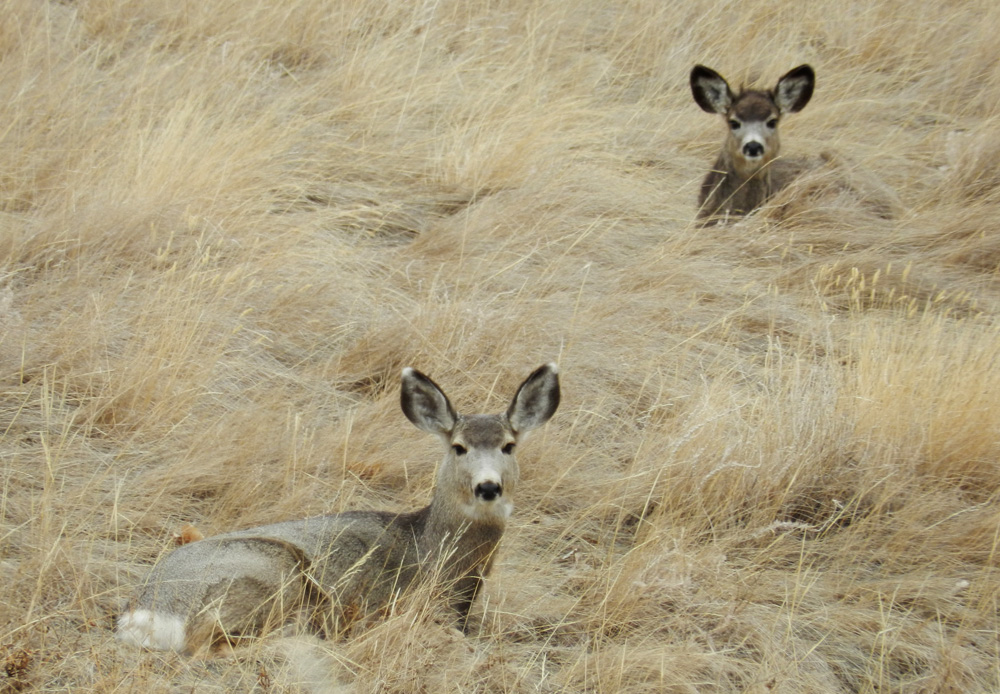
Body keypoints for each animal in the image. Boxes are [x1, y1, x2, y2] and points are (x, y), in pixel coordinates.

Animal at [117, 363, 560, 655]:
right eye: (459, 447)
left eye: (508, 446)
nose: (488, 486)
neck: (430, 549)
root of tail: (144, 612)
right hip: (269, 569)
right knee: (205, 645)